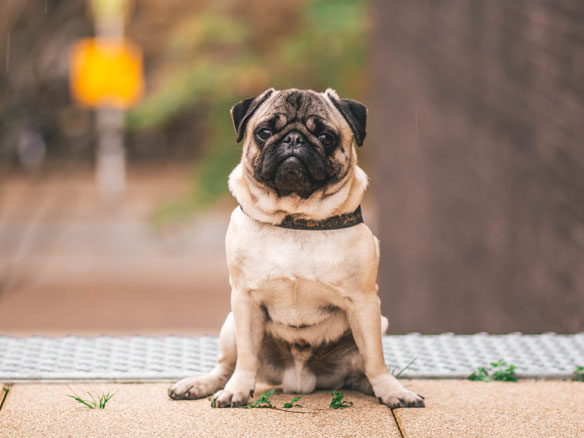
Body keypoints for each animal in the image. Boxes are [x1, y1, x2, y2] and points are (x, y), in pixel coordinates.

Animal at [169, 87, 424, 408]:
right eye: (265, 132)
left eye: (326, 137)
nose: (293, 139)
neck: (296, 219)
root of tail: (299, 380)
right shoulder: (244, 299)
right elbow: (247, 358)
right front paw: (237, 389)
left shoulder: (364, 303)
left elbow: (376, 359)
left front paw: (392, 390)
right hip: (229, 326)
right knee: (226, 365)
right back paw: (201, 384)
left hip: (379, 323)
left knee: (363, 368)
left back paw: (377, 386)